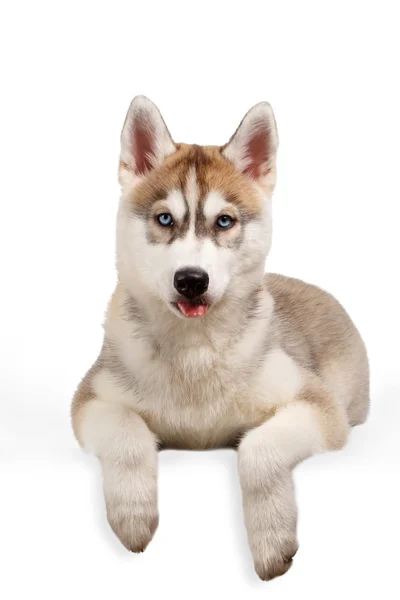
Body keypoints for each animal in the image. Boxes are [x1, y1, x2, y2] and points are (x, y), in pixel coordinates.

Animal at [71, 97, 368, 580]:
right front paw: (134, 516)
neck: (195, 350)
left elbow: (258, 447)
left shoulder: (319, 407)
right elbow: (127, 433)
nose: (191, 280)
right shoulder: (92, 399)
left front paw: (272, 541)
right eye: (165, 218)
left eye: (225, 221)